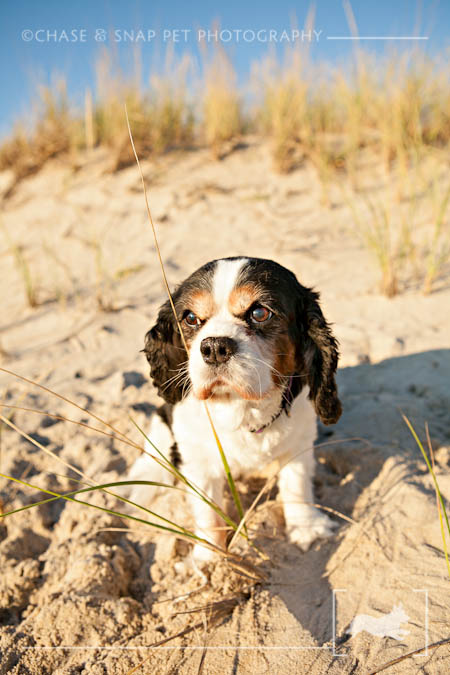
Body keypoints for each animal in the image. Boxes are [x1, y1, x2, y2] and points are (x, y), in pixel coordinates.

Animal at [128, 256, 342, 564]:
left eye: (260, 313)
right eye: (190, 318)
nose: (215, 347)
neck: (241, 406)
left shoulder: (299, 445)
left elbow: (297, 487)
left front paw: (307, 528)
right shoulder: (198, 459)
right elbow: (208, 512)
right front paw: (209, 557)